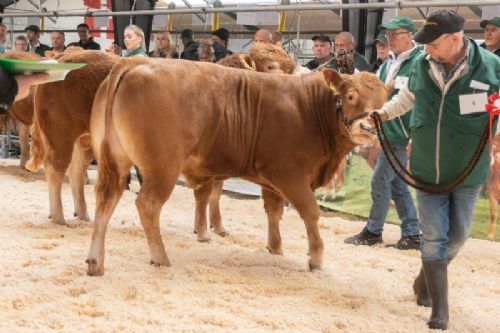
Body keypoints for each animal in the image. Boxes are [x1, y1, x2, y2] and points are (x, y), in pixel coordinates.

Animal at [87, 59, 386, 274]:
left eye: (383, 102)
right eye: (350, 96)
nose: (369, 128)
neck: (308, 108)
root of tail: (133, 63)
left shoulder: (273, 180)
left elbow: (273, 212)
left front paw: (275, 249)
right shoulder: (290, 173)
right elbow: (310, 212)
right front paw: (315, 258)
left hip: (115, 160)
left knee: (106, 199)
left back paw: (95, 262)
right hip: (163, 167)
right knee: (147, 204)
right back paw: (160, 257)